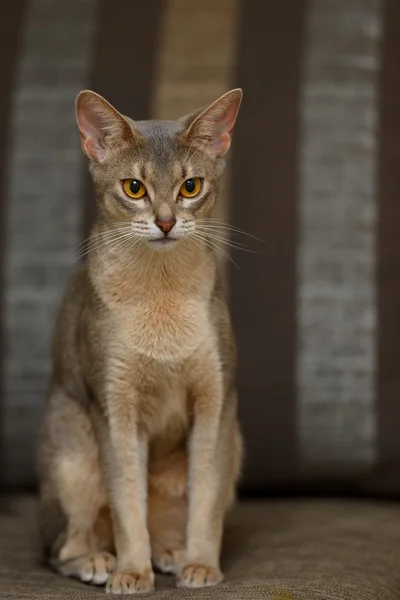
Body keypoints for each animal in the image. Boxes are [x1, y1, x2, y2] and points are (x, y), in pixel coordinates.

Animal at [36, 86, 244, 592]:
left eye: (190, 187)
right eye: (134, 188)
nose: (166, 222)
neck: (161, 297)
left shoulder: (216, 399)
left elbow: (205, 500)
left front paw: (201, 564)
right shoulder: (114, 404)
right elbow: (128, 502)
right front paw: (131, 571)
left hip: (234, 446)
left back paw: (169, 550)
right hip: (70, 449)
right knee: (61, 546)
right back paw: (97, 560)